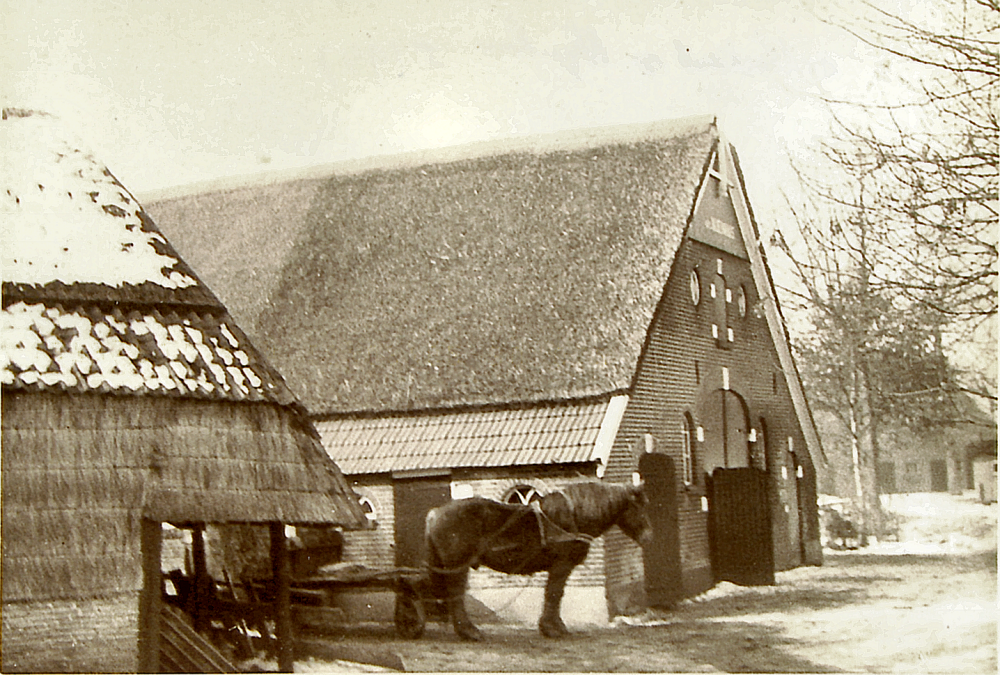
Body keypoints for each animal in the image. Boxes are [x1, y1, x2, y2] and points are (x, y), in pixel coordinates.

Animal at [422, 480, 648, 640]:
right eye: (639, 507)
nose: (649, 537)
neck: (572, 517)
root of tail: (435, 513)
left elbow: (555, 595)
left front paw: (555, 626)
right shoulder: (561, 565)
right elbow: (554, 594)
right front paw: (552, 629)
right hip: (457, 568)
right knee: (456, 596)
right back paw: (469, 632)